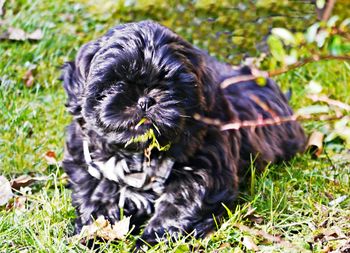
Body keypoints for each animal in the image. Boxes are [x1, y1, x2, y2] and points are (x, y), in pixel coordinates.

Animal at [60, 20, 306, 246]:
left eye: (171, 85)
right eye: (115, 81)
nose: (145, 100)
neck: (140, 153)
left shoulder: (206, 165)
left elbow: (181, 204)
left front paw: (152, 241)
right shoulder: (90, 163)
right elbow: (97, 198)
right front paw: (93, 235)